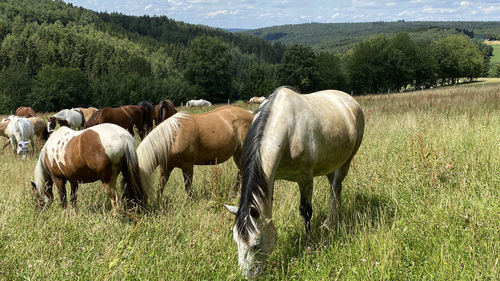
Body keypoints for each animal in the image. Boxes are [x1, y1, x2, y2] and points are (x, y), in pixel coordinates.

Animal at [225, 86, 366, 278]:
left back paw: (330, 223)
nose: (247, 276)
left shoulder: (305, 178)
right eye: (236, 241)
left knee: (336, 187)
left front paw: (309, 246)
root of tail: (349, 100)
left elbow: (306, 212)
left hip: (346, 160)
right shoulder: (270, 179)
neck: (287, 130)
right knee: (334, 188)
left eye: (256, 244)